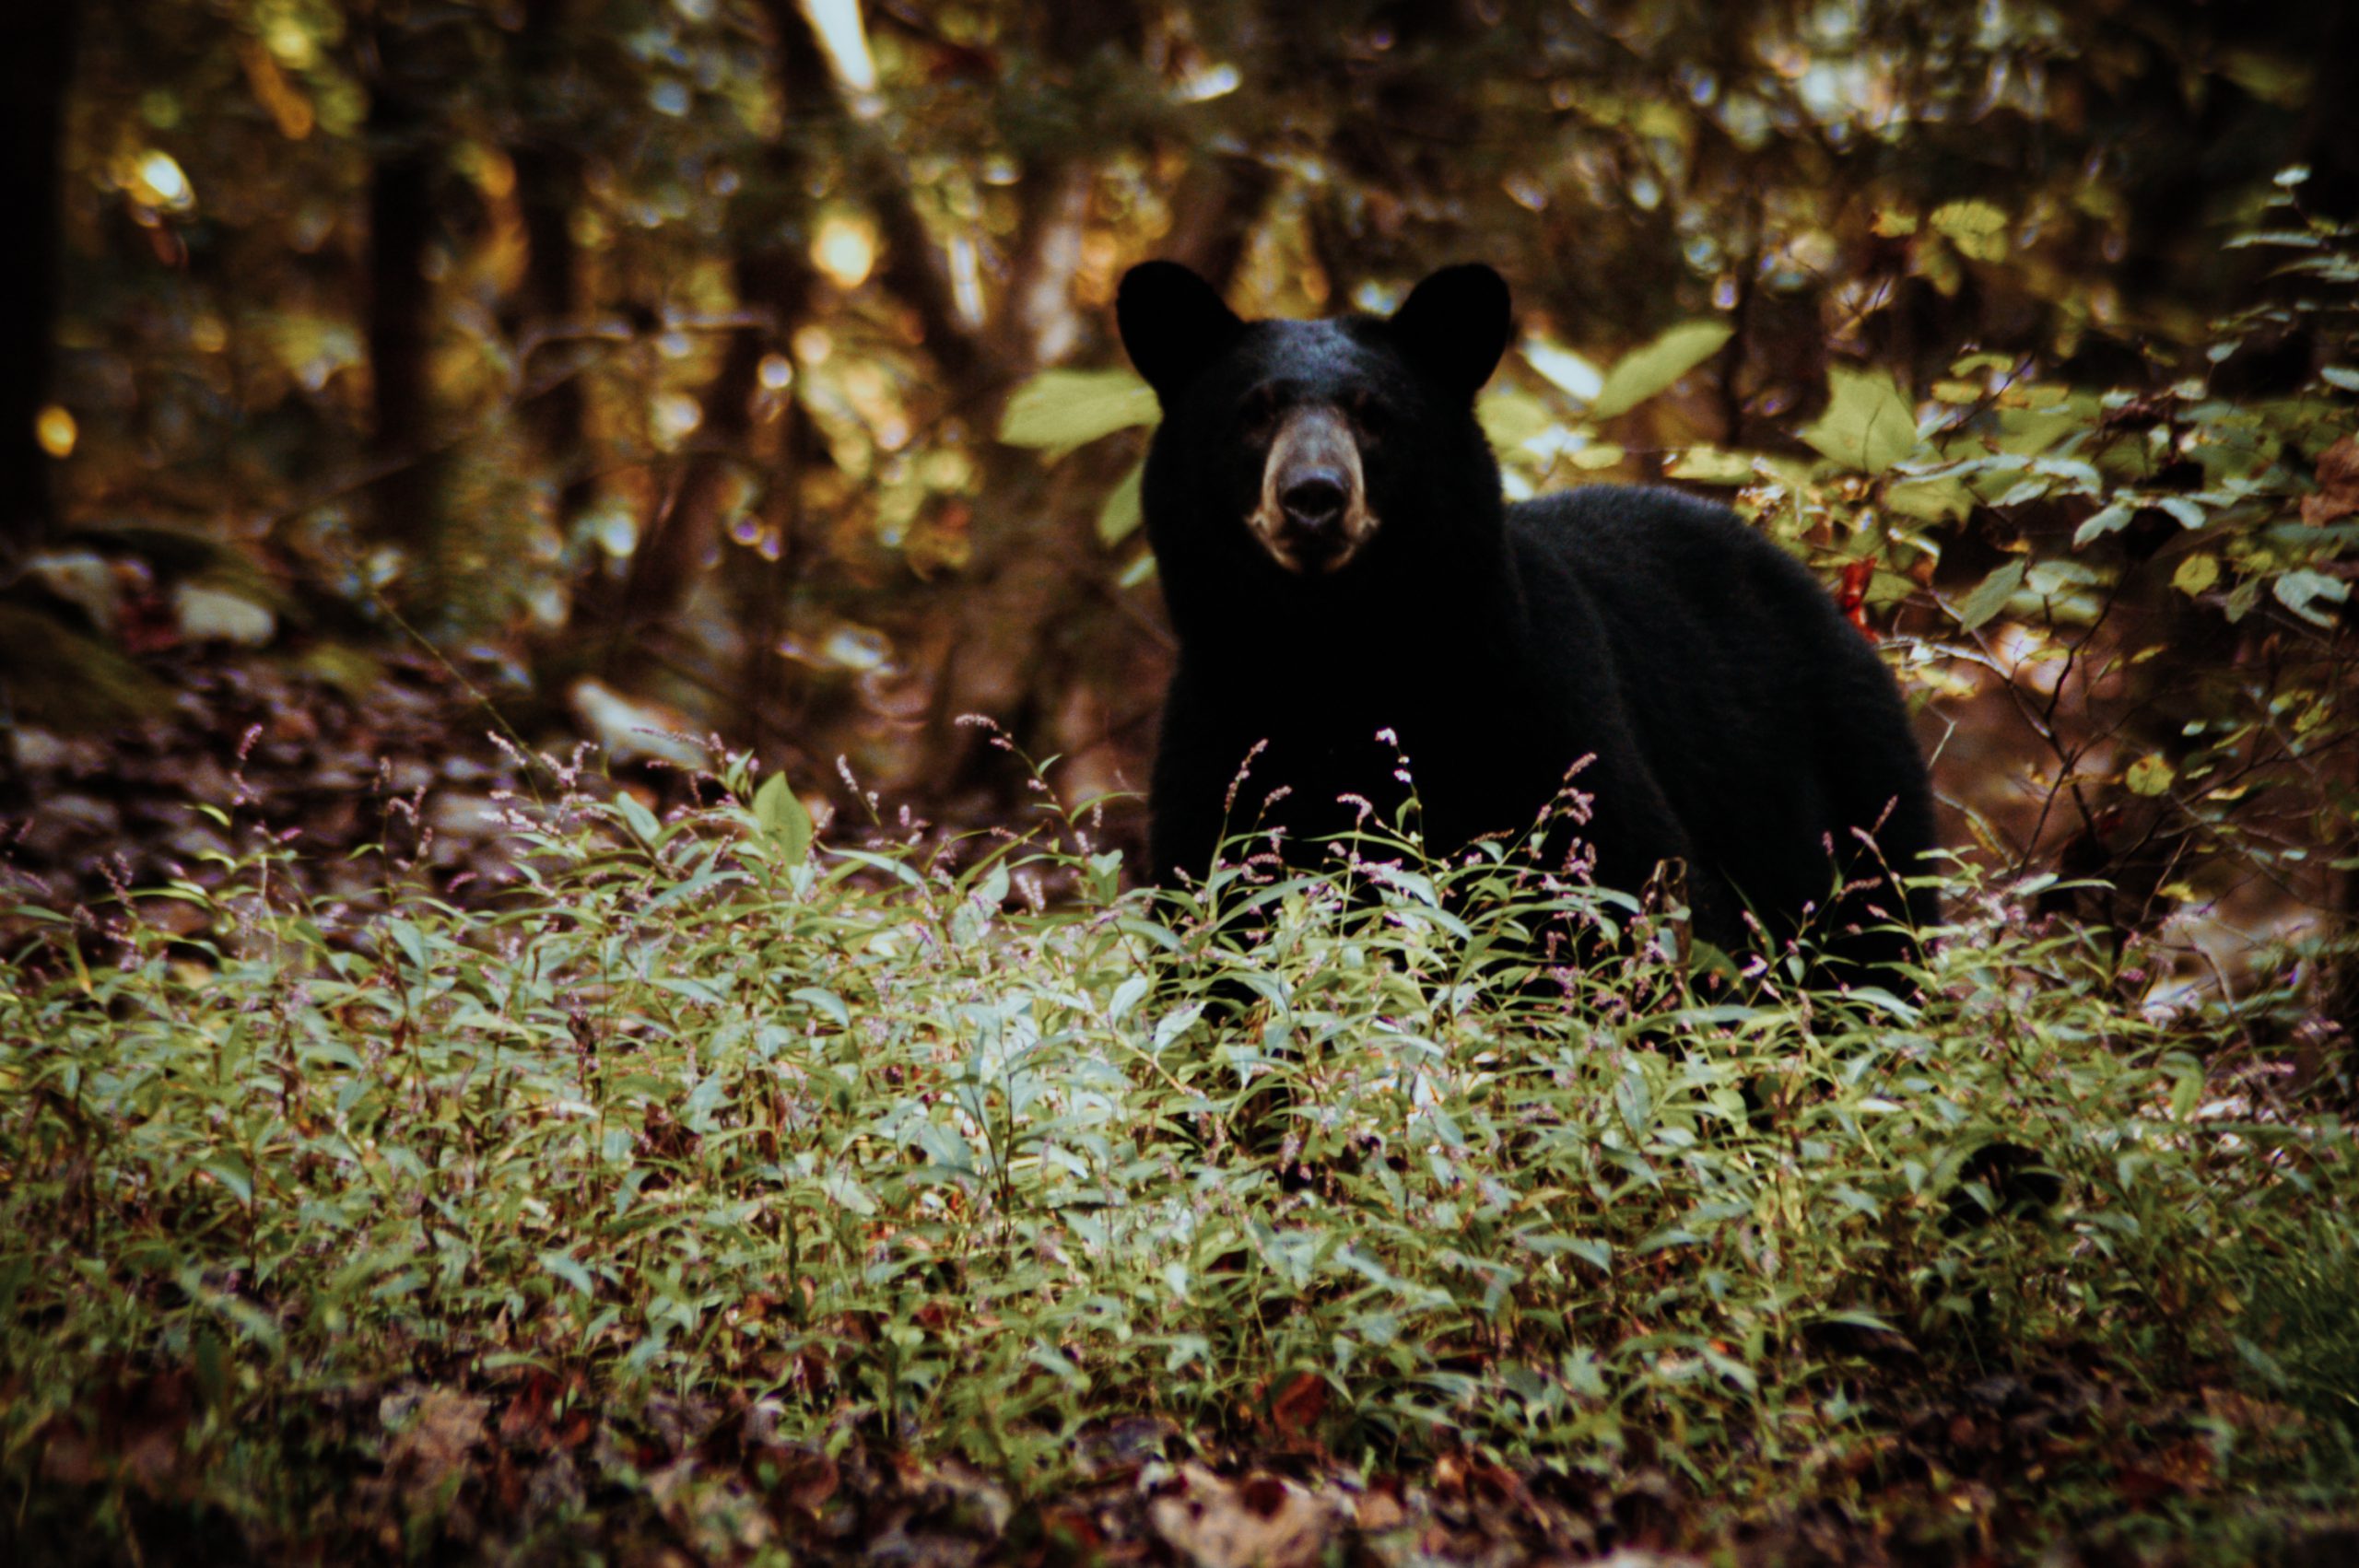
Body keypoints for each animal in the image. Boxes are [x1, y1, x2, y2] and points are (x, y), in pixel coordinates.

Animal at [1118, 262, 1934, 985]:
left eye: (1375, 414)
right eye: (1253, 412)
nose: (1313, 495)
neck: (1340, 658)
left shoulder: (1539, 714)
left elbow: (1640, 901)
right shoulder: (1220, 740)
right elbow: (1219, 931)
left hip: (1849, 784)